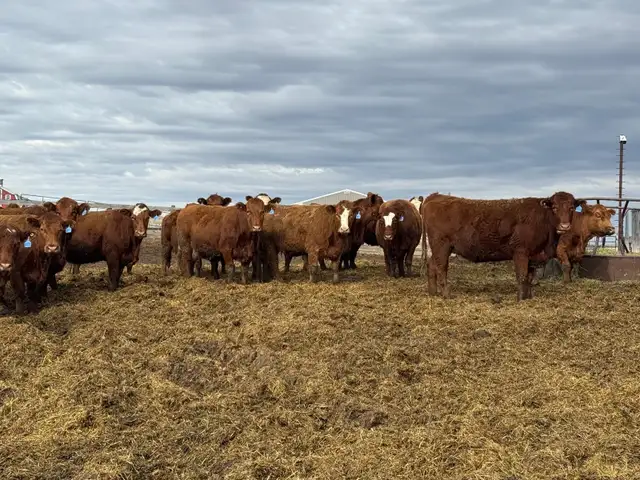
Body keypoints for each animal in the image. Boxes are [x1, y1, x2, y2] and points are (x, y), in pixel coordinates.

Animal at [421, 191, 582, 301]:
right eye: (554, 207)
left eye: (572, 208)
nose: (565, 226)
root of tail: (436, 196)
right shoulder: (520, 252)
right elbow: (522, 276)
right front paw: (520, 299)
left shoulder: (532, 255)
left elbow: (530, 278)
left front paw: (528, 297)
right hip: (441, 246)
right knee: (441, 268)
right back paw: (446, 294)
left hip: (439, 249)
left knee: (431, 265)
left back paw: (433, 292)